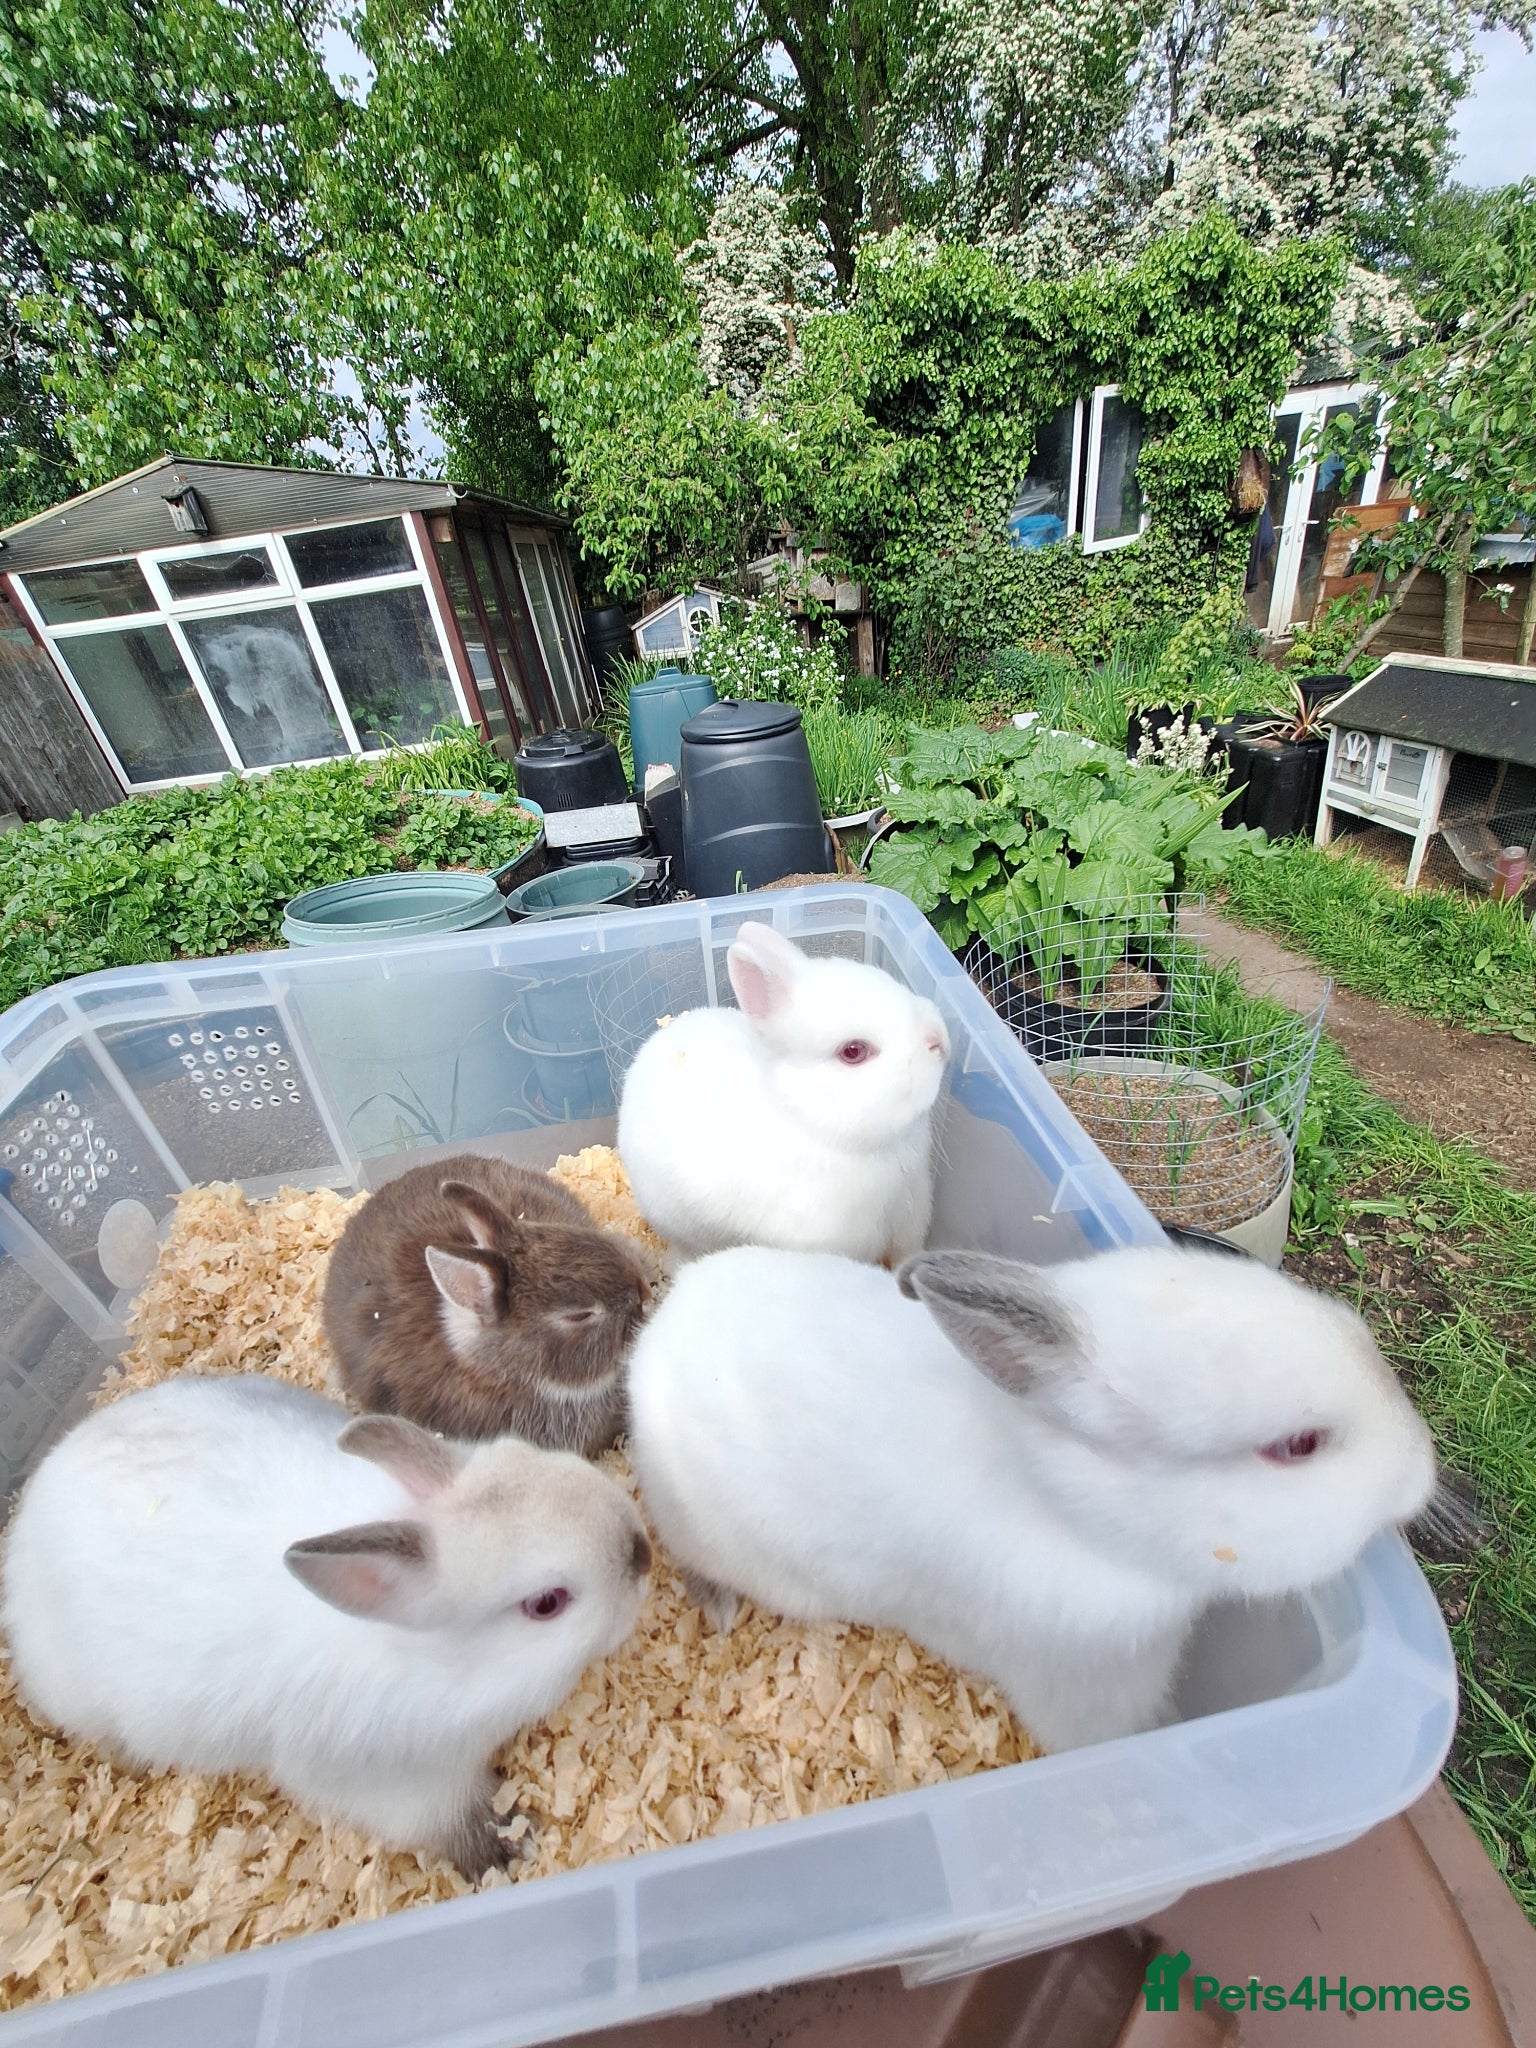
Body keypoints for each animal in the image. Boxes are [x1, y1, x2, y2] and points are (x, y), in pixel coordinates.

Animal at [1, 1374, 652, 1876]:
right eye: (546, 1603)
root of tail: (27, 1514)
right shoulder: (395, 1780)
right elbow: (454, 1821)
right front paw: (514, 1845)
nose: (642, 1552)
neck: (441, 1665)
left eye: (531, 1453)